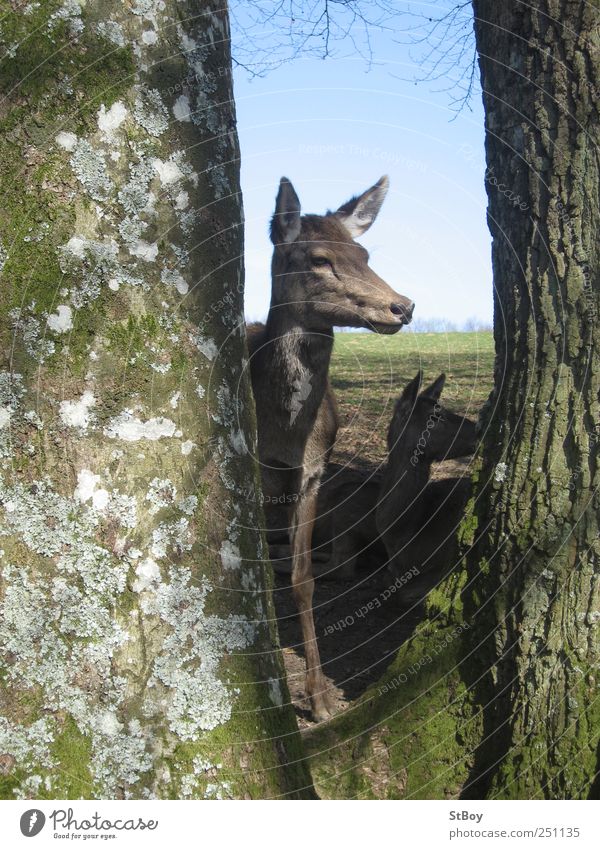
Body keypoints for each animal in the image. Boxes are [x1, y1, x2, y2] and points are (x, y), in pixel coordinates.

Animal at [246, 176, 414, 720]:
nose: (402, 306)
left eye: (364, 252)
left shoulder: (314, 469)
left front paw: (319, 698)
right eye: (318, 258)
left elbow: (303, 580)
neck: (282, 429)